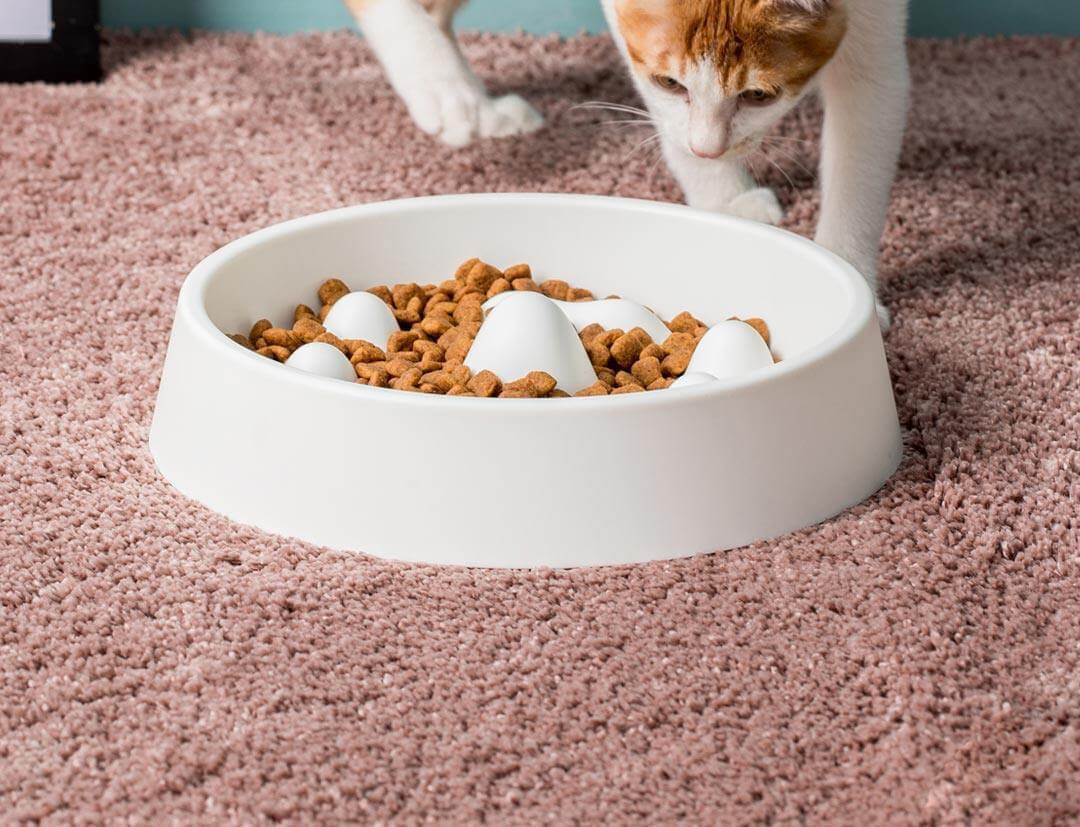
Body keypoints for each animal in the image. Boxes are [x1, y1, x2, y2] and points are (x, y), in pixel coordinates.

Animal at [345, 0, 911, 328]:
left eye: (758, 95)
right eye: (670, 82)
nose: (708, 148)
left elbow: (862, 145)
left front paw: (847, 276)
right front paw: (725, 201)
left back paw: (484, 107)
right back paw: (447, 93)